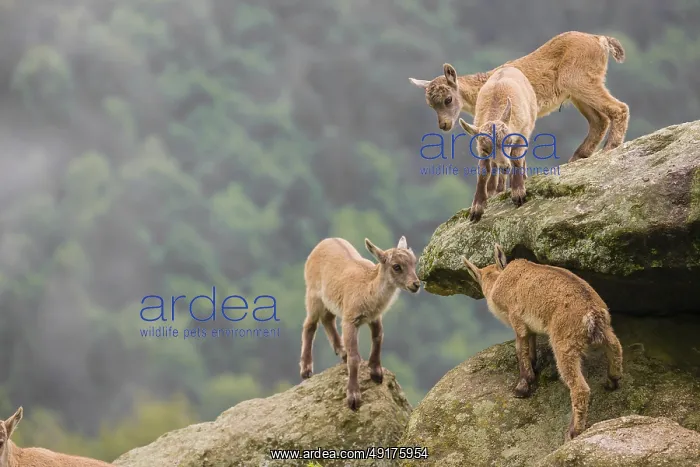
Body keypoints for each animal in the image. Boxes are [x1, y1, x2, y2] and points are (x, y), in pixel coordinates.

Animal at [300, 236, 420, 410]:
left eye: (414, 262)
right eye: (396, 266)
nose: (416, 284)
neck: (367, 289)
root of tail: (325, 241)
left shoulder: (374, 317)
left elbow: (378, 338)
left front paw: (376, 373)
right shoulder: (350, 320)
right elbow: (354, 357)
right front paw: (353, 397)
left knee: (328, 319)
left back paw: (341, 351)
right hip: (313, 295)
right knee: (310, 325)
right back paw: (306, 369)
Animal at [410, 31, 628, 162]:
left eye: (448, 99)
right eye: (431, 105)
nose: (444, 125)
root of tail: (600, 40)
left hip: (578, 80)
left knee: (618, 108)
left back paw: (610, 147)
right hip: (577, 93)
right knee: (599, 121)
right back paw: (578, 156)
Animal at [458, 66, 537, 222]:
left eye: (509, 140)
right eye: (485, 148)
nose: (505, 167)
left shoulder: (522, 134)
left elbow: (517, 157)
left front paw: (518, 193)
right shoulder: (481, 151)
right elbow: (483, 171)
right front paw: (477, 208)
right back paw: (495, 189)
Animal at [461, 244, 623, 440]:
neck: (500, 280)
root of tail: (592, 313)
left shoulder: (518, 322)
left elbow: (520, 351)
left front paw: (522, 387)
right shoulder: (528, 326)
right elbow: (530, 346)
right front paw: (533, 365)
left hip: (564, 343)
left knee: (580, 388)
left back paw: (573, 432)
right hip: (605, 331)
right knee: (616, 347)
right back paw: (612, 381)